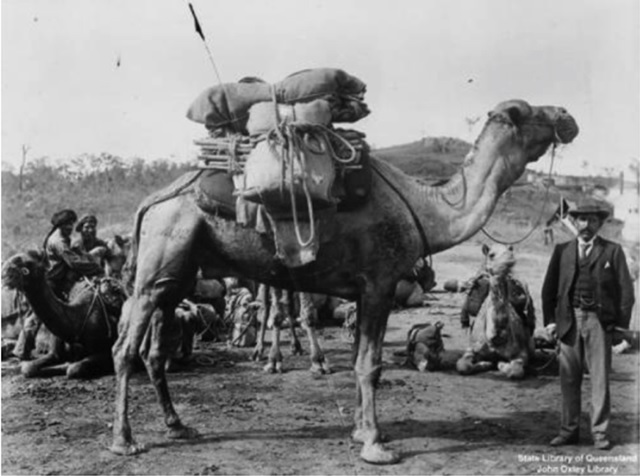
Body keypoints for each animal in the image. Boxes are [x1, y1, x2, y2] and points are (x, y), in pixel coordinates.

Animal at [456, 244, 536, 379]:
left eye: (510, 251)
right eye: (491, 254)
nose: (510, 260)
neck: (496, 338)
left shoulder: (521, 352)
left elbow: (516, 371)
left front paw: (501, 364)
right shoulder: (471, 348)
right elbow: (463, 366)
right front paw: (486, 363)